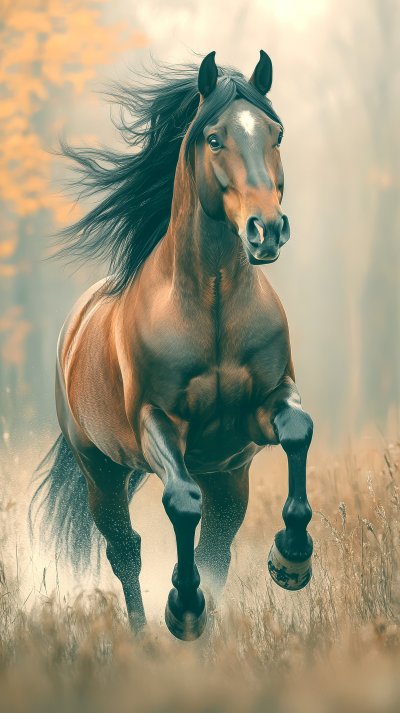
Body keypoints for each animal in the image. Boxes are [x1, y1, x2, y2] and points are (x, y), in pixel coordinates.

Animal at [31, 50, 314, 641]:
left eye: (275, 133)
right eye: (214, 138)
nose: (267, 230)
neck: (213, 310)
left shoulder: (261, 412)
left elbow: (299, 431)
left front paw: (292, 559)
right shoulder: (158, 424)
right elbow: (181, 503)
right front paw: (184, 606)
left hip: (228, 475)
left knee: (217, 550)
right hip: (102, 470)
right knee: (126, 551)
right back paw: (146, 635)